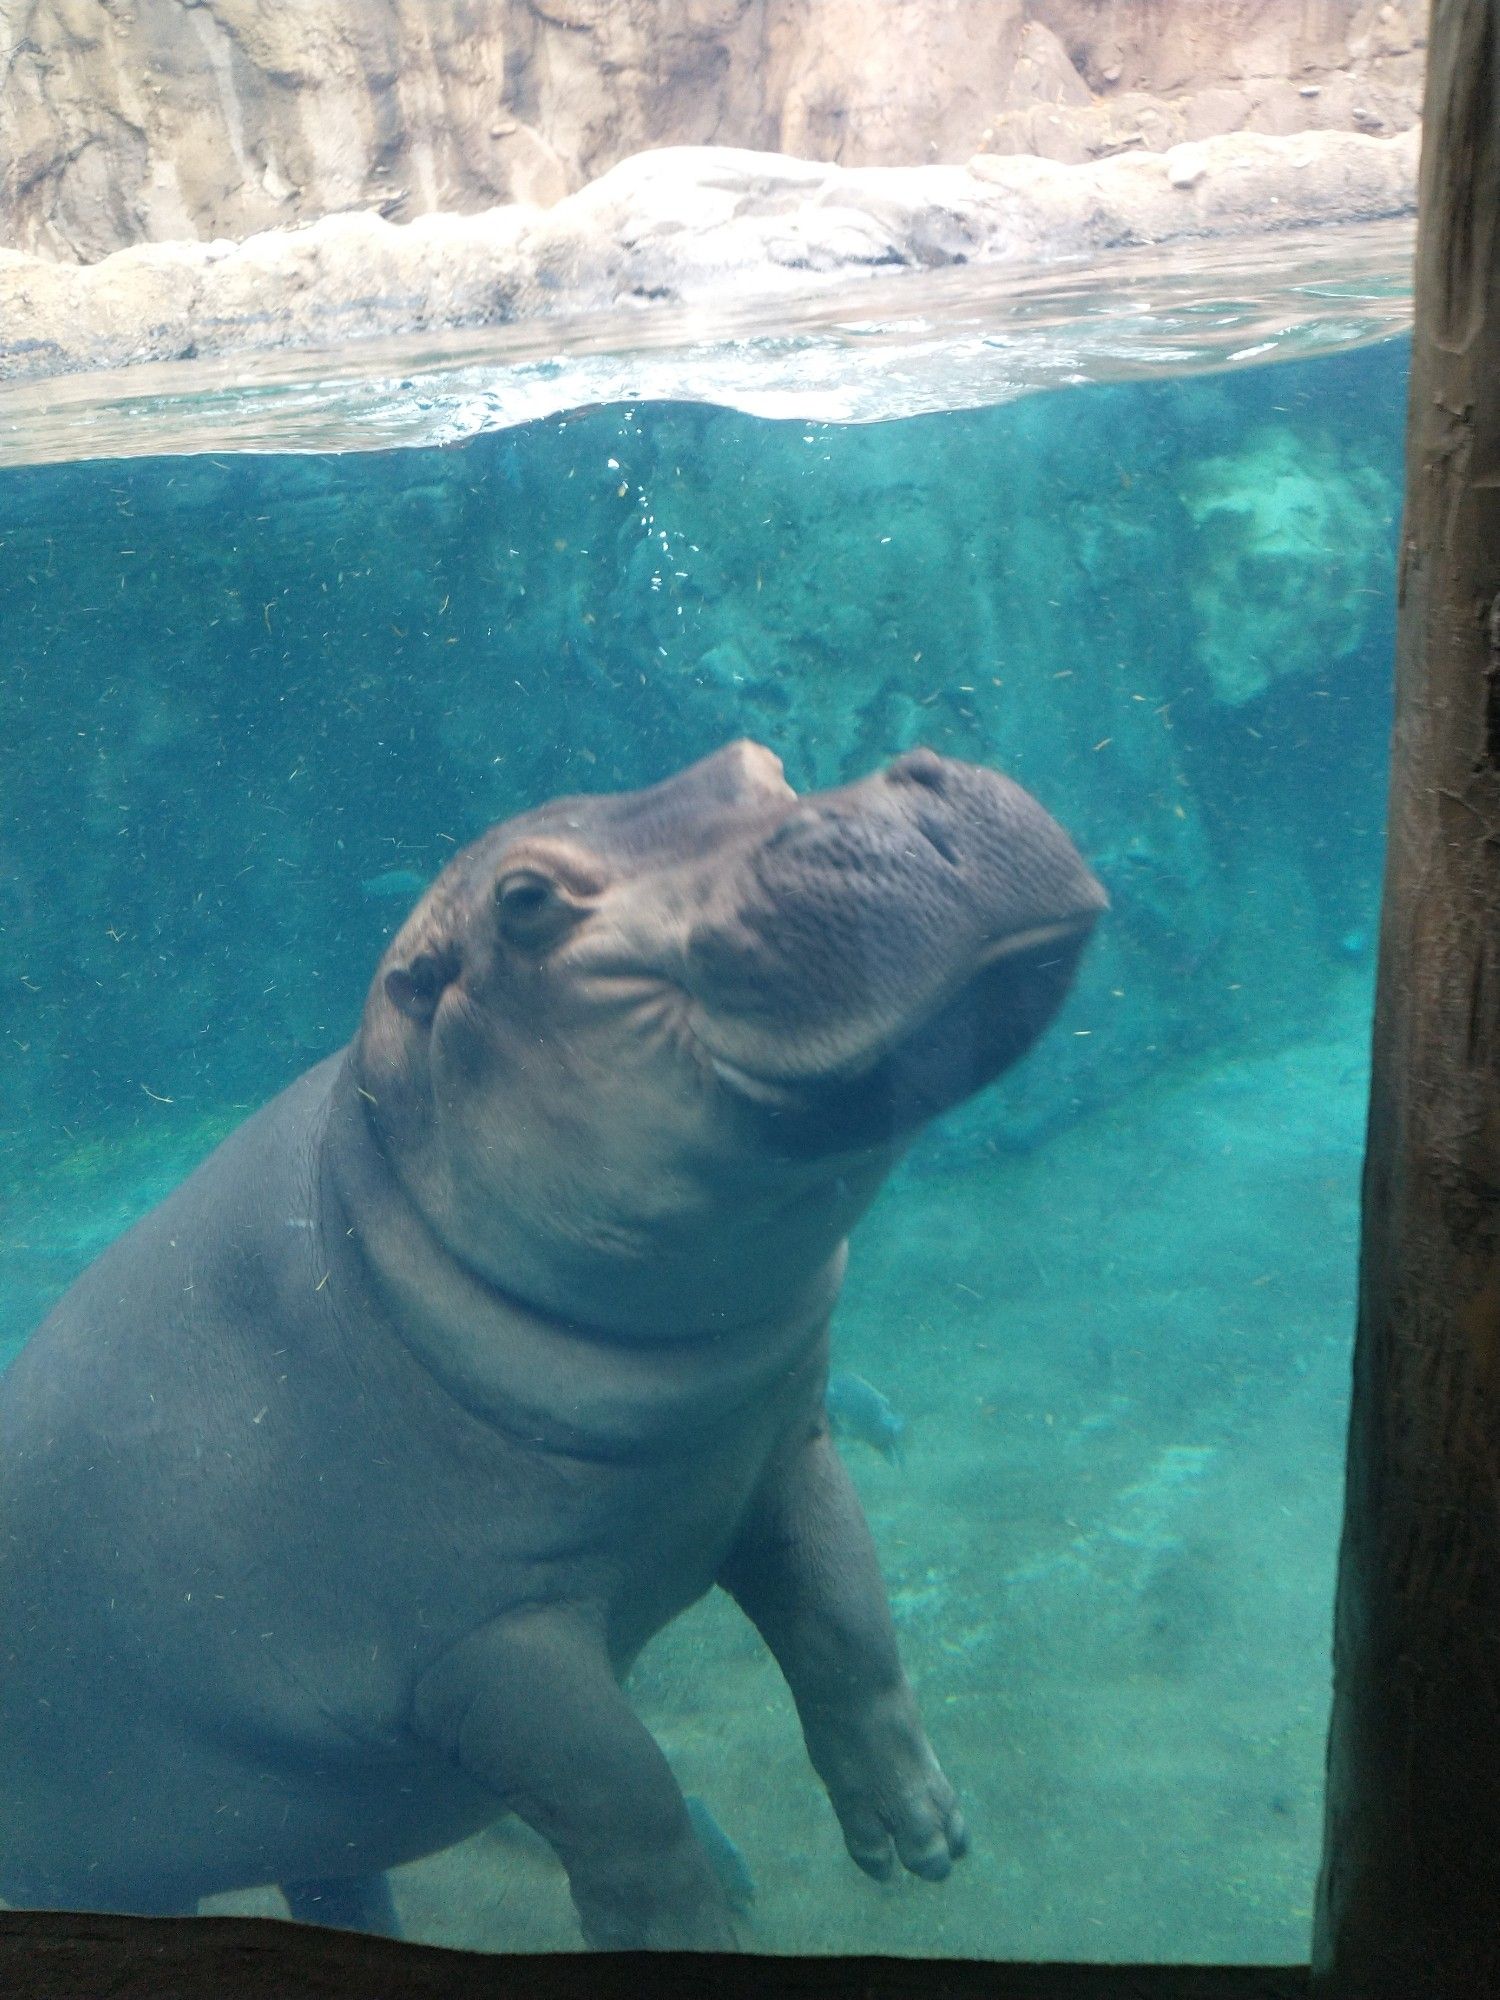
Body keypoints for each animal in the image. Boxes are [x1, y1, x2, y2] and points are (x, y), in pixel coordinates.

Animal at [0, 744, 1104, 1944]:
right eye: (524, 902)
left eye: (758, 763)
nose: (916, 781)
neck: (377, 1219)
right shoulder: (478, 1643)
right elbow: (625, 1791)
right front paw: (687, 1936)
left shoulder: (781, 1446)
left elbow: (850, 1625)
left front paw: (922, 1836)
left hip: (314, 1838)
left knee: (339, 1881)